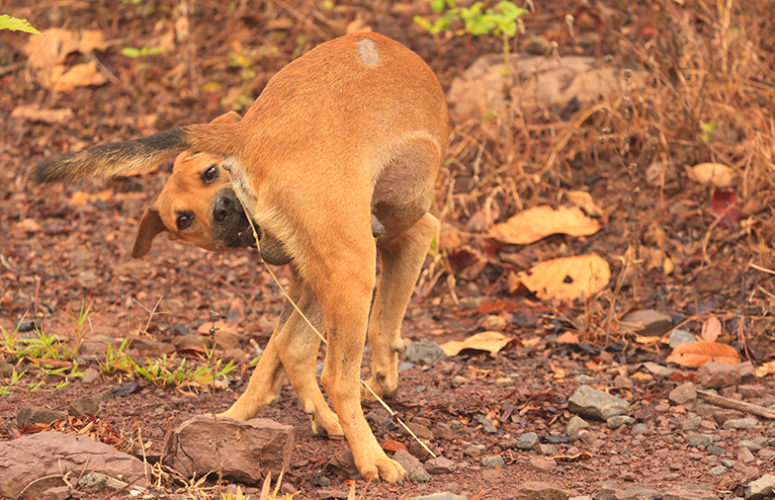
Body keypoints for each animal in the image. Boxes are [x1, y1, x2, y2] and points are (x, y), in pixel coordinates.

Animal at [34, 30, 448, 480]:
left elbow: (277, 354)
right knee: (337, 377)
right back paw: (373, 458)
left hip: (332, 276)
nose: (220, 210)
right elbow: (385, 322)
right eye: (183, 218)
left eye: (210, 173)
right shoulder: (413, 237)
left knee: (294, 350)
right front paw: (385, 376)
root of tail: (249, 135)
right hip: (353, 269)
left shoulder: (306, 277)